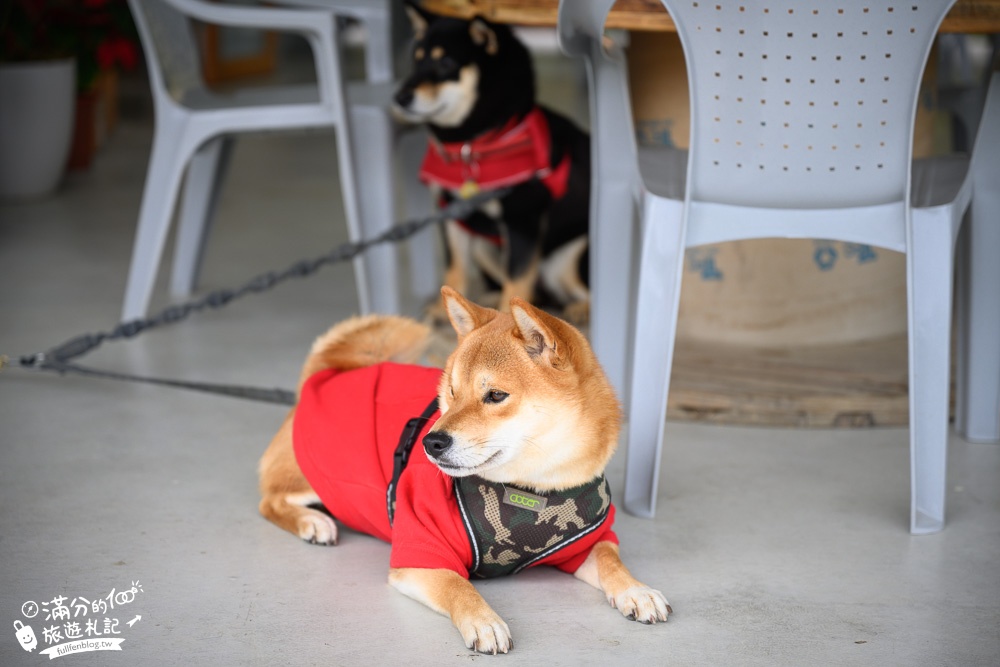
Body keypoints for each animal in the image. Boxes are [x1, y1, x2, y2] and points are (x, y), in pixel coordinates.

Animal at [258, 288, 668, 652]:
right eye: (451, 391)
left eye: (496, 395)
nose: (430, 442)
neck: (533, 487)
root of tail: (327, 372)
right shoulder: (419, 553)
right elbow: (459, 586)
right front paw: (484, 620)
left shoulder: (583, 542)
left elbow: (612, 561)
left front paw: (637, 590)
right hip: (317, 477)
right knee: (271, 501)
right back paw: (312, 522)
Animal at [392, 1, 592, 322]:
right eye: (417, 60)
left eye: (446, 63)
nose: (399, 97)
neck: (471, 145)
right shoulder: (453, 215)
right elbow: (455, 268)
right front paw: (445, 312)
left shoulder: (523, 222)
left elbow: (517, 281)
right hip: (485, 247)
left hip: (567, 261)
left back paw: (579, 310)